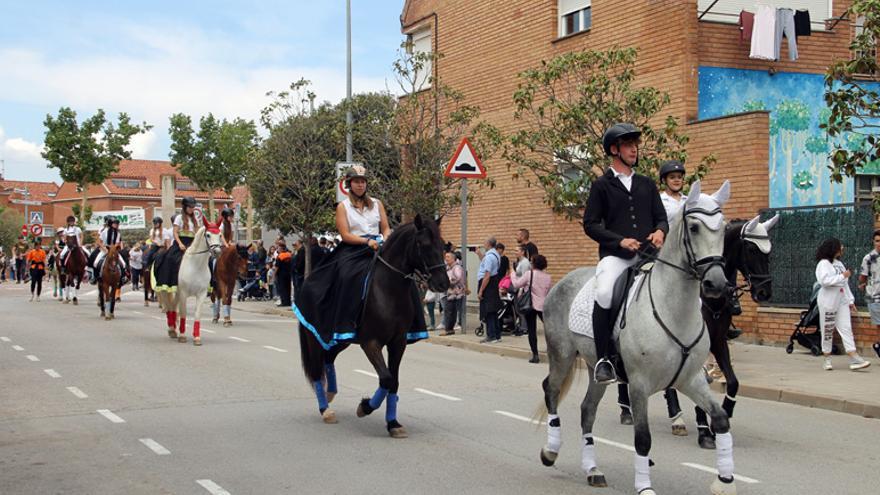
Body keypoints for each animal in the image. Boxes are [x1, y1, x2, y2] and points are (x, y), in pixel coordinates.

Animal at [300, 215, 450, 440]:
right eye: (423, 244)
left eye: (442, 245)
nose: (443, 284)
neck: (388, 290)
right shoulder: (371, 343)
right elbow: (386, 378)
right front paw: (364, 407)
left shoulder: (398, 342)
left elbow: (393, 381)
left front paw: (393, 423)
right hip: (315, 337)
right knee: (318, 371)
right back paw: (325, 409)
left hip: (341, 339)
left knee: (329, 358)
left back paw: (331, 393)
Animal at [540, 182, 740, 495]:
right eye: (694, 227)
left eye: (722, 226)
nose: (716, 284)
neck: (674, 311)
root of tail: (563, 280)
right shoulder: (639, 384)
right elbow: (643, 439)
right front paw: (645, 487)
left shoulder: (691, 378)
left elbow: (720, 419)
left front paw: (724, 482)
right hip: (561, 354)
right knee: (551, 389)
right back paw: (550, 451)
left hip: (597, 368)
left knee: (587, 411)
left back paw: (593, 470)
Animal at [616, 213, 780, 446]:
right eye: (751, 249)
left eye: (769, 250)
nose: (764, 292)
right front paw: (704, 430)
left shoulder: (718, 341)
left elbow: (732, 382)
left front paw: (723, 415)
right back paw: (632, 412)